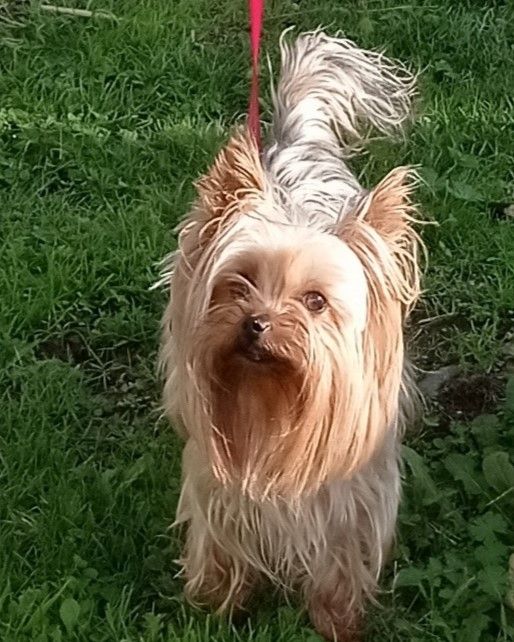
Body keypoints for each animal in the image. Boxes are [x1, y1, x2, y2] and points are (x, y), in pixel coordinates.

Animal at [156, 31, 422, 642]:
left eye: (316, 301)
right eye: (237, 284)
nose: (256, 323)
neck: (267, 403)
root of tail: (296, 141)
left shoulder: (354, 494)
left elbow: (343, 558)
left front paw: (339, 620)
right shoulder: (217, 485)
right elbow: (221, 544)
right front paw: (215, 606)